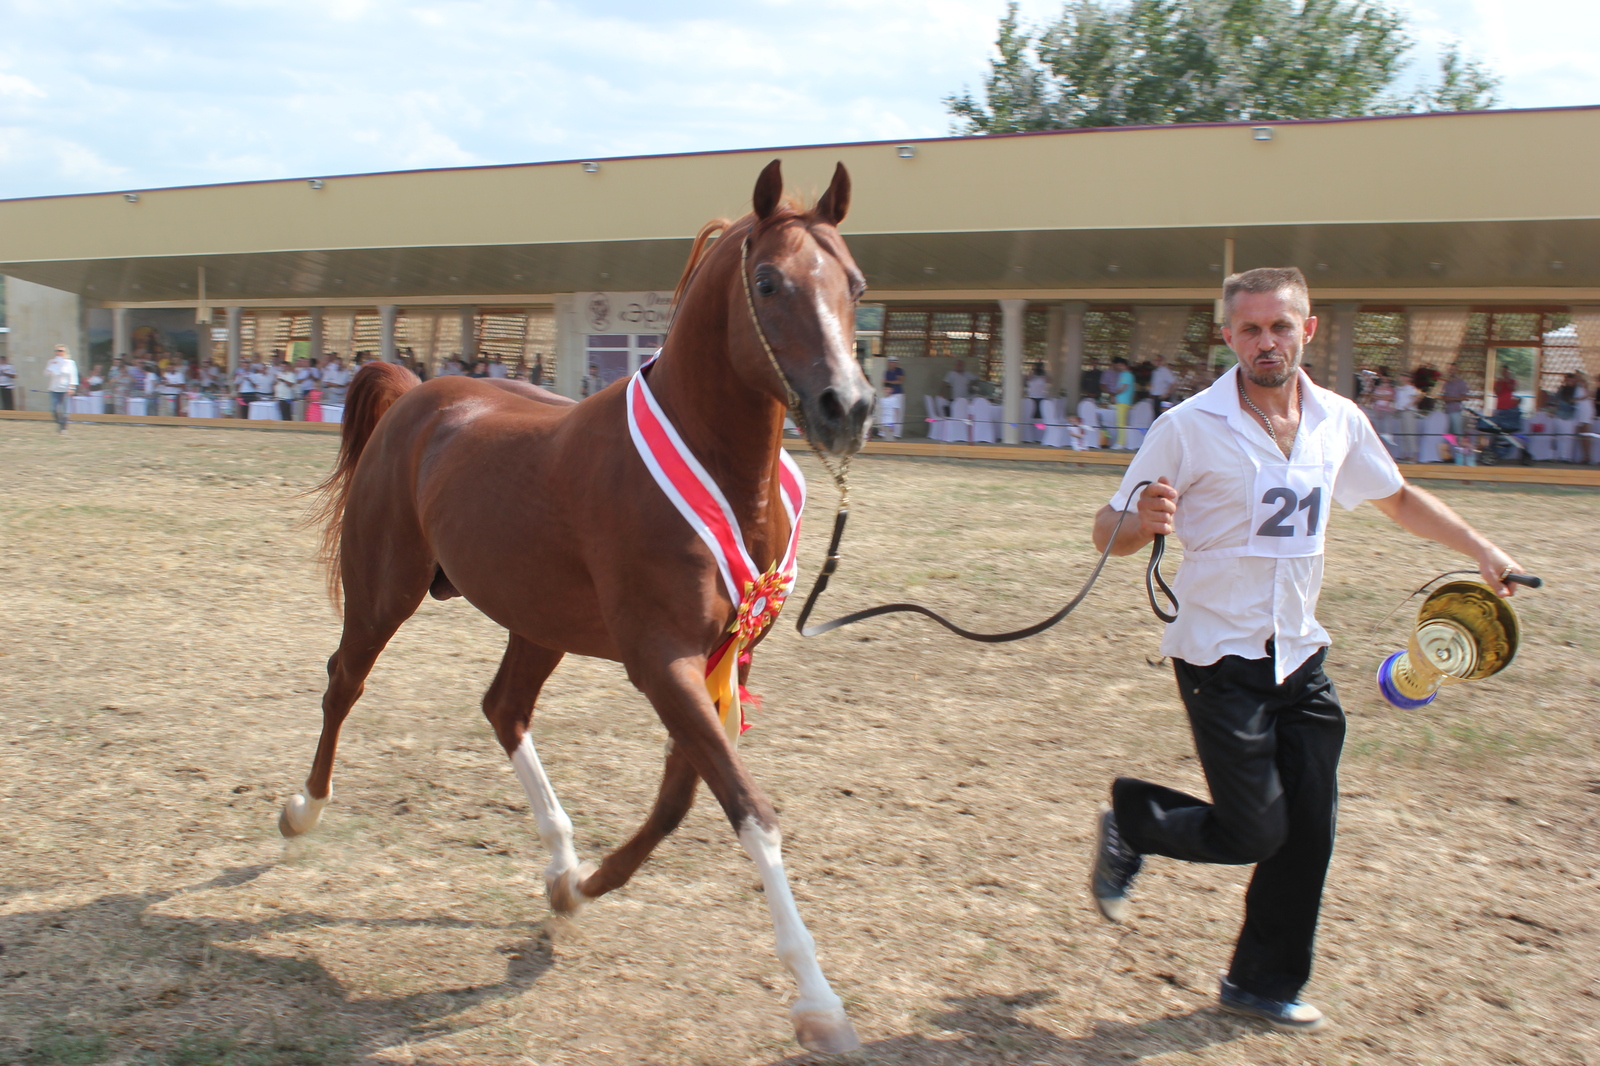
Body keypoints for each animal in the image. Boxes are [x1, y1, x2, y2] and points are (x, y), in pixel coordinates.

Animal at [276, 157, 876, 1043]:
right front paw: (817, 1000)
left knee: (503, 708)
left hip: (538, 620)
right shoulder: (660, 661)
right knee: (343, 683)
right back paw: (302, 811)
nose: (849, 406)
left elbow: (680, 800)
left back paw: (560, 856)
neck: (712, 471)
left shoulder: (722, 659)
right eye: (768, 281)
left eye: (856, 284)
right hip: (383, 591)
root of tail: (417, 393)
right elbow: (749, 808)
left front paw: (580, 885)